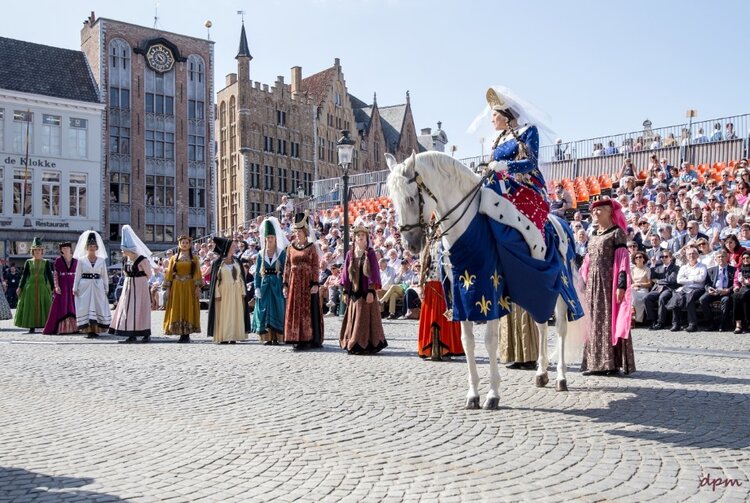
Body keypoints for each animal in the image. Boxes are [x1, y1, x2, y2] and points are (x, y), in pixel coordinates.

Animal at [388, 153, 588, 410]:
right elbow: (467, 342)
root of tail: (560, 223)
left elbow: (490, 341)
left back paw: (561, 378)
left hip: (562, 286)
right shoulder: (462, 296)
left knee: (561, 327)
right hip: (537, 287)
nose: (410, 244)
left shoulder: (489, 293)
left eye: (412, 198)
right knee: (542, 324)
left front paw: (493, 394)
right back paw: (541, 373)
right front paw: (473, 394)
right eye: (394, 201)